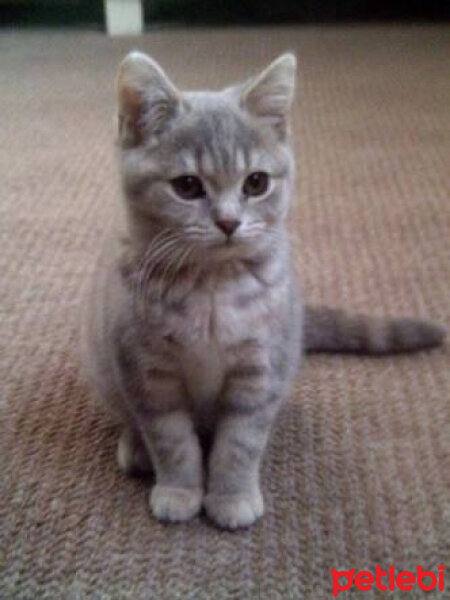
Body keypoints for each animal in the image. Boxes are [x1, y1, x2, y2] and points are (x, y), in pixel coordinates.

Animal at [82, 52, 444, 528]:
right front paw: (180, 489)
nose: (229, 222)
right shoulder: (146, 370)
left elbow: (239, 443)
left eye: (256, 183)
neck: (210, 290)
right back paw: (135, 447)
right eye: (187, 186)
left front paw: (231, 495)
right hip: (104, 367)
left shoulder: (261, 369)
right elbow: (171, 438)